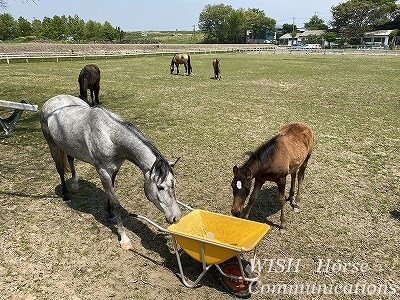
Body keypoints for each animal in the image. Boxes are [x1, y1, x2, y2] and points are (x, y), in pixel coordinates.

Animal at [40, 95, 181, 250]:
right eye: (160, 187)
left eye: (174, 184)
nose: (176, 217)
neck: (109, 136)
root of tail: (53, 100)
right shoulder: (103, 172)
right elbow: (115, 202)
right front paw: (124, 238)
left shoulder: (114, 170)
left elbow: (110, 193)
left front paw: (109, 214)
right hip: (52, 145)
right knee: (59, 168)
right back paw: (66, 195)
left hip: (69, 146)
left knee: (71, 159)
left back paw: (75, 185)